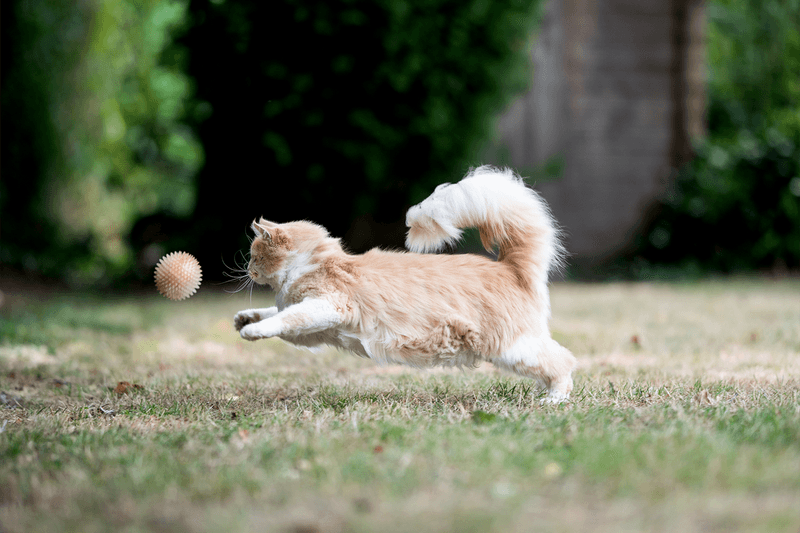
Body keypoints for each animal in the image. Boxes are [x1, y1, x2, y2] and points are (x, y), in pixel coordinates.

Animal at [234, 164, 580, 402]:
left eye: (254, 255)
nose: (247, 269)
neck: (312, 262)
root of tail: (509, 267)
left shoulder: (328, 306)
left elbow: (283, 319)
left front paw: (252, 331)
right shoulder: (312, 332)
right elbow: (276, 313)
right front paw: (244, 318)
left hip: (514, 349)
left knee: (563, 362)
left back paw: (554, 400)